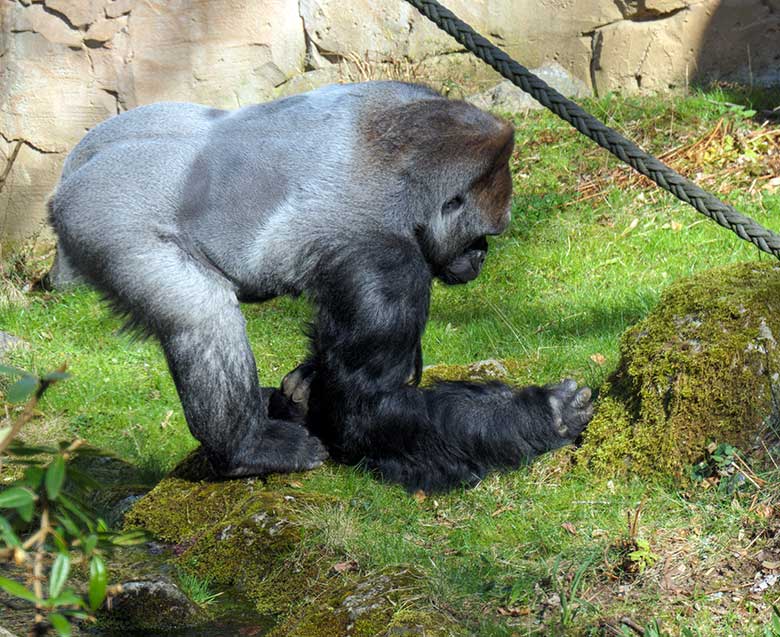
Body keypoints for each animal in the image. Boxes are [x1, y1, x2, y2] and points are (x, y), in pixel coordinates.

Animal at [48, 80, 596, 492]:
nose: (481, 256)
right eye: (483, 234)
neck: (404, 181)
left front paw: (302, 391)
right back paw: (245, 450)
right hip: (104, 216)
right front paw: (539, 415)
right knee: (199, 315)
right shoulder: (388, 261)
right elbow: (367, 408)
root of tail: (72, 169)